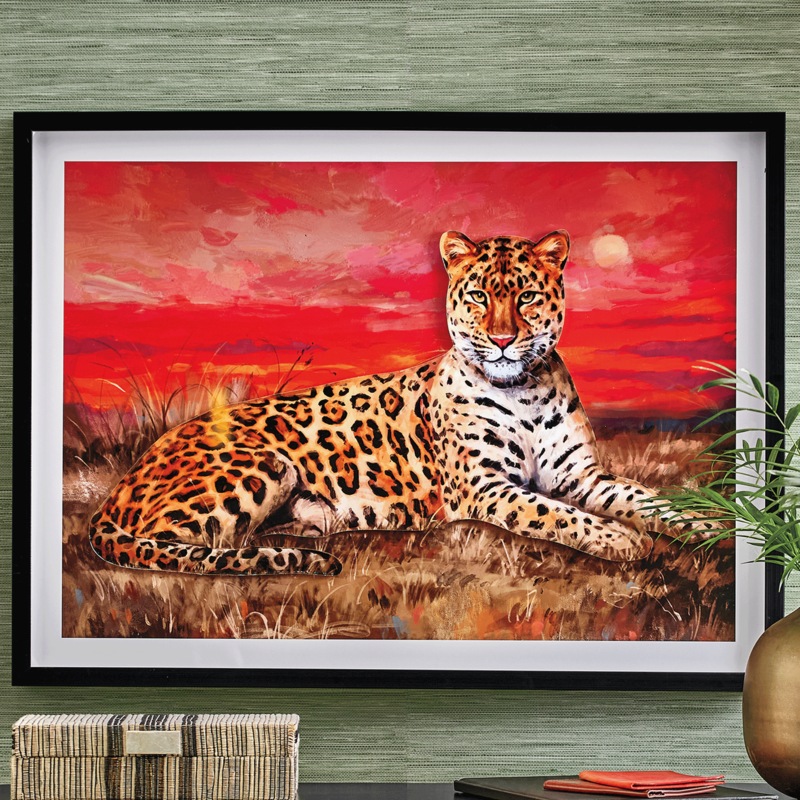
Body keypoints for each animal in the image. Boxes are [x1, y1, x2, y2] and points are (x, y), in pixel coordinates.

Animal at [89, 229, 707, 577]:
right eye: (478, 295)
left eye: (528, 297)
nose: (504, 340)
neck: (522, 389)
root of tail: (127, 480)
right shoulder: (483, 488)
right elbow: (553, 514)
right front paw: (621, 539)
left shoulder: (580, 474)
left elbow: (647, 499)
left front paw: (709, 523)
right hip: (260, 465)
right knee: (181, 545)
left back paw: (309, 526)